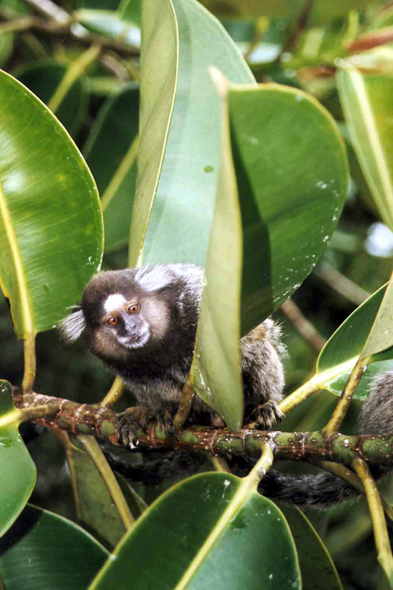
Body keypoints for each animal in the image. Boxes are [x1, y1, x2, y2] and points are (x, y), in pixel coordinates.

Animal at [60, 264, 392, 508]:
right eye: (112, 321)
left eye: (133, 309)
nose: (130, 328)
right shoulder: (131, 369)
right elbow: (154, 387)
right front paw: (153, 413)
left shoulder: (198, 304)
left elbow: (254, 340)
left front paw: (265, 402)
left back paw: (255, 411)